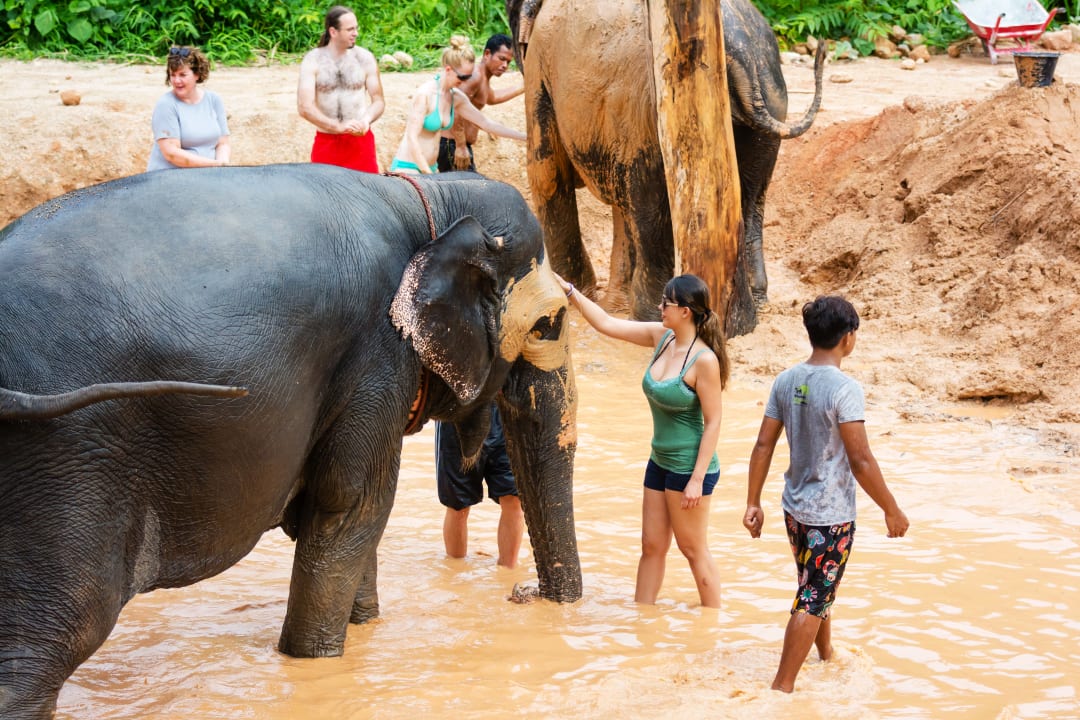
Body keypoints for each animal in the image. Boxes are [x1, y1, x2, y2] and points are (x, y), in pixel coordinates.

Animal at [0, 165, 583, 720]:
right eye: (548, 325)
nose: (526, 596)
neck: (431, 198)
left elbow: (352, 522)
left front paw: (363, 630)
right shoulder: (377, 356)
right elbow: (352, 507)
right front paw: (315, 661)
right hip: (69, 462)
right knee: (54, 640)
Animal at [509, 0, 820, 334]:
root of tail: (736, 47)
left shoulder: (540, 67)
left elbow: (545, 175)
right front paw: (609, 304)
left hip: (649, 107)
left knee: (649, 201)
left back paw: (650, 315)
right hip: (773, 95)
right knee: (751, 196)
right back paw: (747, 315)